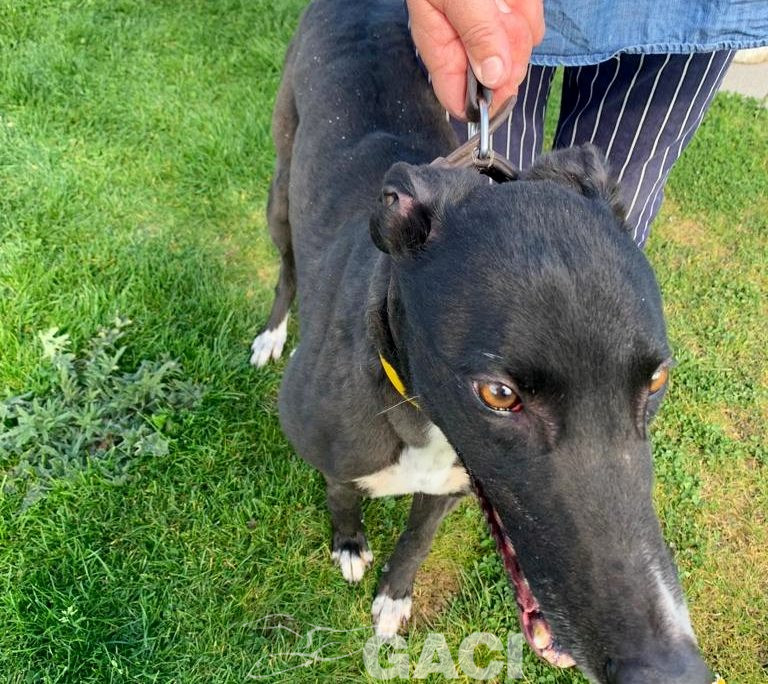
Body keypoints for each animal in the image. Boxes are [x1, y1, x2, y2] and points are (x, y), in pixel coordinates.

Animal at [250, 1, 713, 681]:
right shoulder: (335, 453)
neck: (414, 409)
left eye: (657, 380)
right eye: (498, 394)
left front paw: (395, 597)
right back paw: (272, 334)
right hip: (281, 190)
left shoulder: (453, 484)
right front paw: (351, 544)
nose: (672, 670)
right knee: (286, 267)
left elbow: (418, 538)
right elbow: (340, 494)